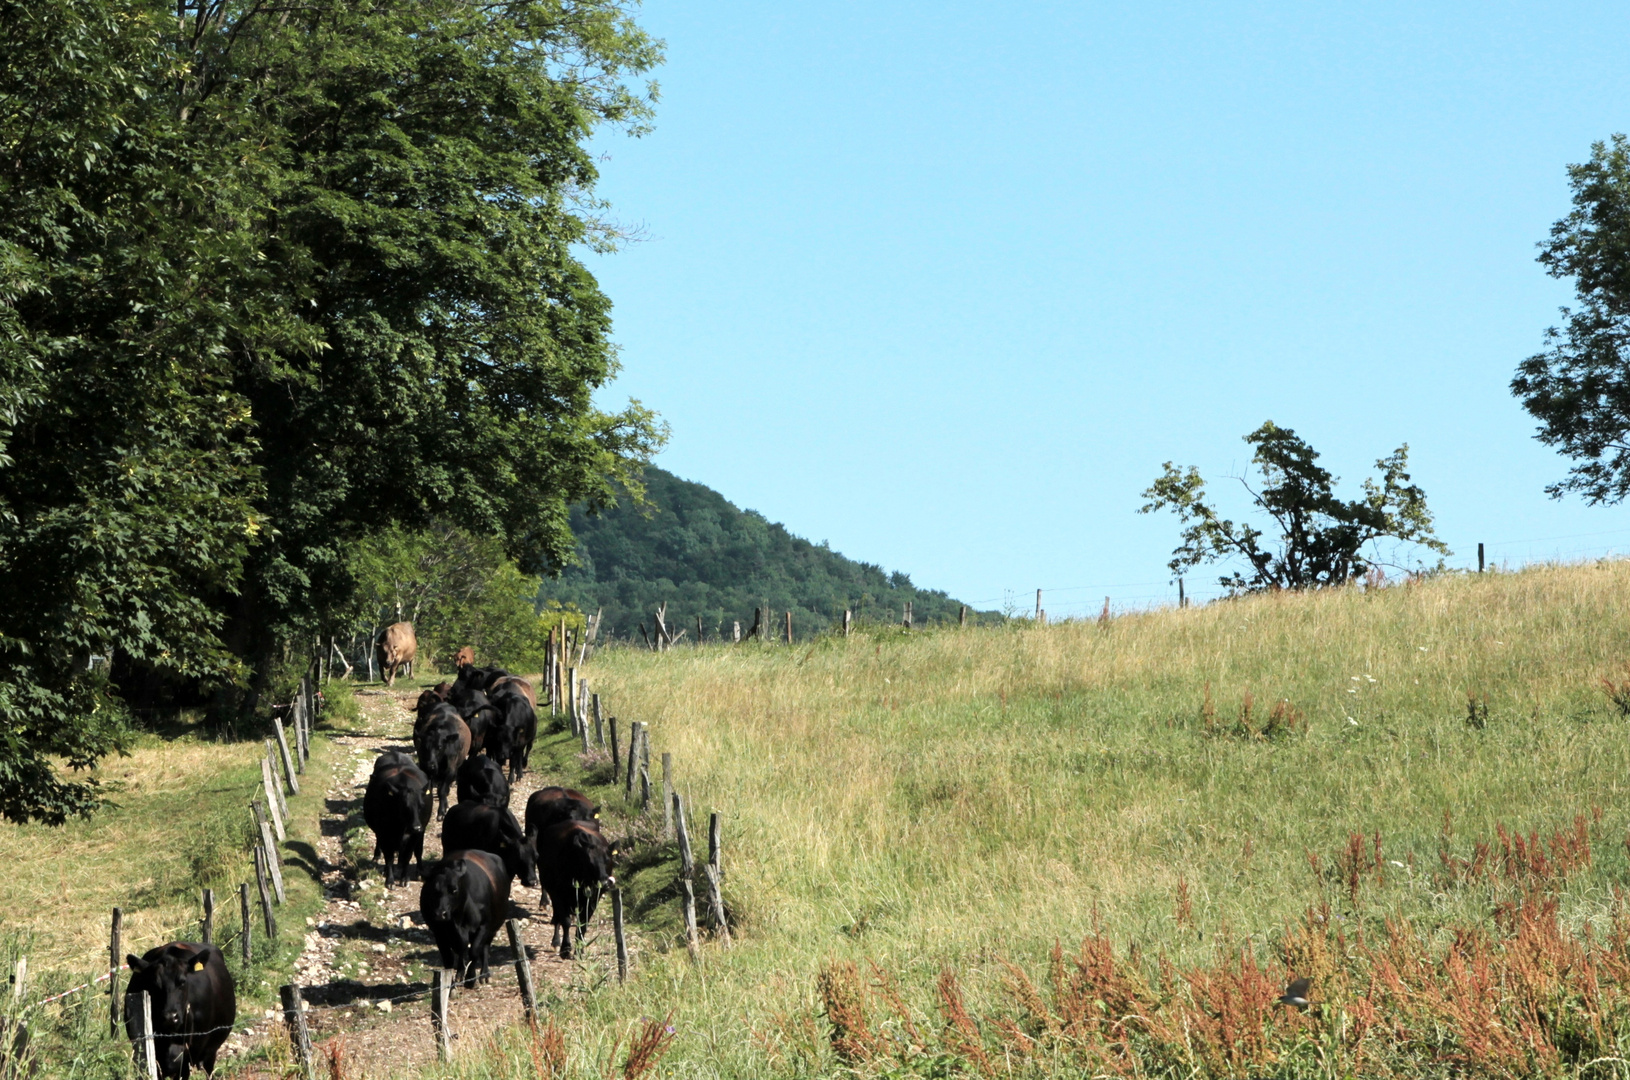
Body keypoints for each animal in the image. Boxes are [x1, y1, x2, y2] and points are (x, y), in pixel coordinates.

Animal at [361, 752, 430, 886]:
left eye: (422, 805)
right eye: (404, 806)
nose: (416, 827)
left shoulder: (414, 836)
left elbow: (408, 855)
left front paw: (404, 878)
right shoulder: (384, 833)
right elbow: (389, 857)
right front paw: (390, 880)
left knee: (418, 850)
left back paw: (419, 871)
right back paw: (377, 857)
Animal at [423, 853, 511, 990]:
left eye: (454, 890)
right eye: (434, 890)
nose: (440, 914)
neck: (457, 921)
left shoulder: (483, 926)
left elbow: (474, 951)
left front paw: (470, 978)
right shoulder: (439, 932)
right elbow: (449, 958)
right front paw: (450, 983)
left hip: (494, 927)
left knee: (484, 947)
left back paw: (484, 975)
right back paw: (460, 974)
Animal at [534, 824, 616, 957]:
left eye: (608, 860)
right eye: (589, 862)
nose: (604, 882)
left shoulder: (593, 899)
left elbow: (583, 924)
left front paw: (580, 949)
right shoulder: (557, 894)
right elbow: (565, 921)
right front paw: (565, 948)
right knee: (557, 917)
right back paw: (556, 942)